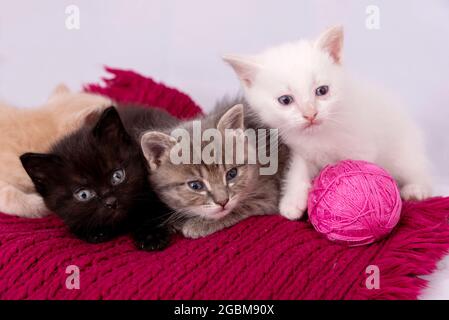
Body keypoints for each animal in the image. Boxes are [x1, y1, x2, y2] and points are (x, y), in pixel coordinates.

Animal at [142, 100, 286, 238]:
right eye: (195, 185)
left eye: (232, 174)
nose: (223, 202)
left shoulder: (268, 194)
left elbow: (239, 207)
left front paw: (198, 224)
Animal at [226, 25, 432, 220]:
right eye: (285, 100)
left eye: (322, 90)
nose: (310, 114)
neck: (320, 135)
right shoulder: (301, 149)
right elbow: (297, 170)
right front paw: (292, 201)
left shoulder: (361, 147)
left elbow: (358, 170)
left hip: (405, 155)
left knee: (420, 172)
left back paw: (416, 189)